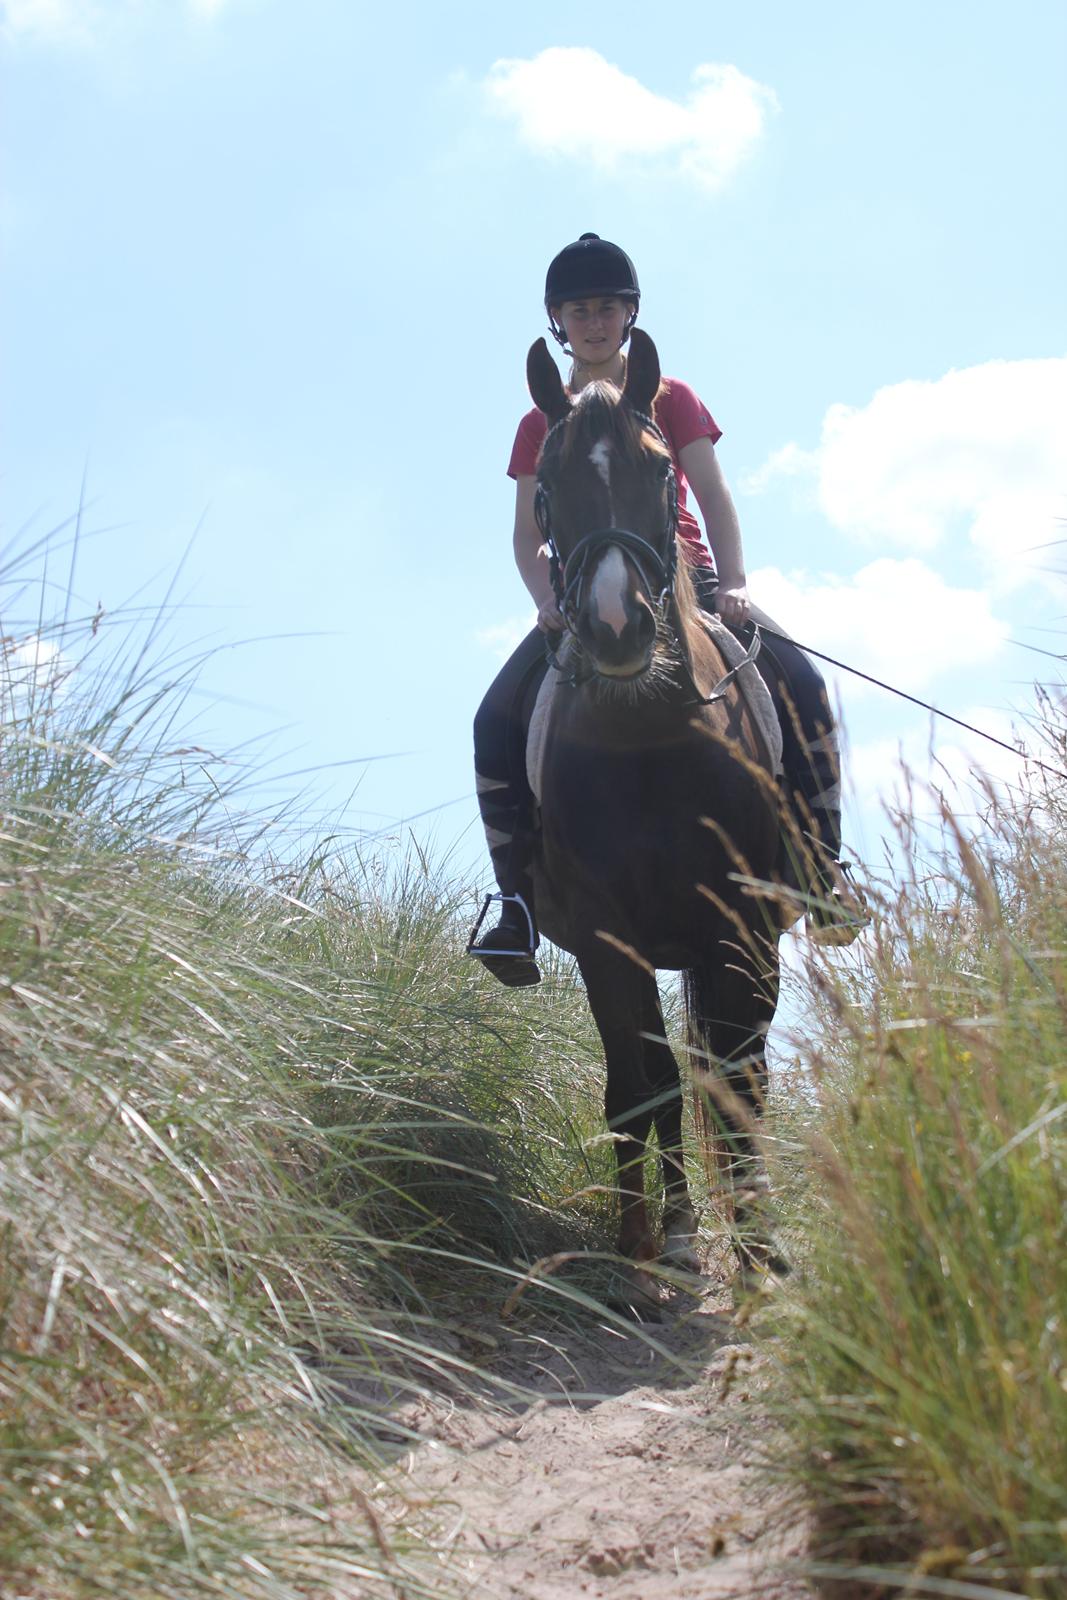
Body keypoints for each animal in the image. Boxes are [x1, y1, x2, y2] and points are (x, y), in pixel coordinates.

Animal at [524, 328, 783, 1299]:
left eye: (663, 468)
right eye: (546, 481)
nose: (615, 628)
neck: (646, 739)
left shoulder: (740, 928)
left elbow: (739, 1086)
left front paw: (760, 1252)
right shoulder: (608, 938)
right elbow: (642, 1082)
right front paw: (641, 1237)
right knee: (661, 1071)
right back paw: (670, 1225)